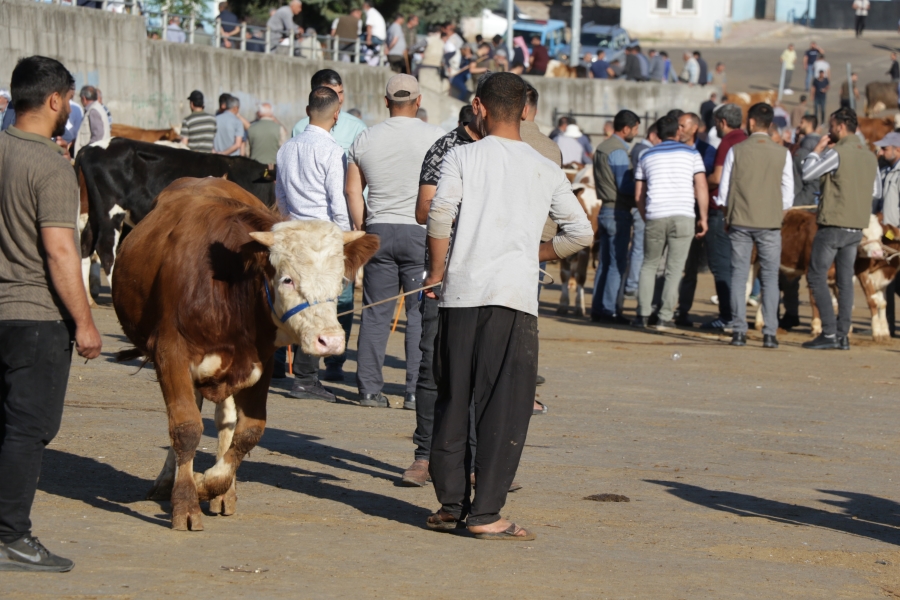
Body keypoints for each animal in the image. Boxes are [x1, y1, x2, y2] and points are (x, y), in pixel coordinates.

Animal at [113, 177, 380, 528]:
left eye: (340, 283)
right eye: (287, 279)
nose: (331, 341)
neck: (225, 287)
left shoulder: (259, 362)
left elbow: (249, 430)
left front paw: (209, 484)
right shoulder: (170, 353)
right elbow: (185, 427)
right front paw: (185, 501)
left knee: (224, 420)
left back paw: (223, 493)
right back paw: (168, 480)